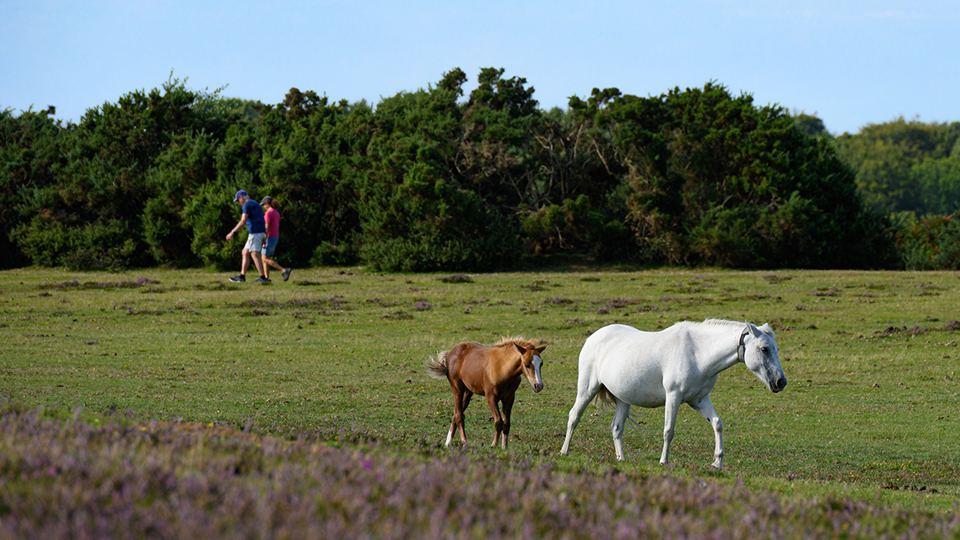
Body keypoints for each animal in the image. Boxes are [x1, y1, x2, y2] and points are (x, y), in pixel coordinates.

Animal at [559, 319, 786, 469]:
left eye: (775, 348)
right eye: (764, 349)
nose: (781, 382)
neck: (698, 353)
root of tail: (594, 337)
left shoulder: (699, 400)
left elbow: (717, 424)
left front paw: (717, 462)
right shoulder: (673, 397)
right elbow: (669, 430)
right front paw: (664, 461)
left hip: (623, 399)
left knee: (616, 428)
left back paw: (621, 459)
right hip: (587, 389)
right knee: (574, 417)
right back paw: (564, 451)